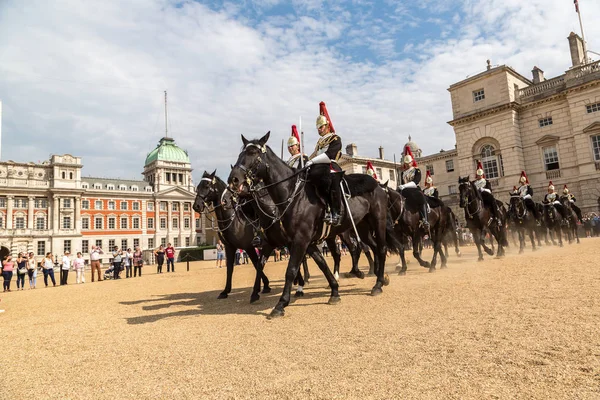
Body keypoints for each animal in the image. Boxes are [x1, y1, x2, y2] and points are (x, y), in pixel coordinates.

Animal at [229, 134, 394, 318]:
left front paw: (281, 304)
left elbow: (291, 269)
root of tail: (379, 185)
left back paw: (376, 283)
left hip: (377, 221)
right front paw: (334, 291)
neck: (292, 195)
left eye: (253, 153)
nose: (233, 180)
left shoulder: (300, 240)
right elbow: (321, 263)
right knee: (371, 247)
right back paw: (380, 276)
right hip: (362, 227)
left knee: (379, 248)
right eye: (241, 153)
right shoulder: (304, 241)